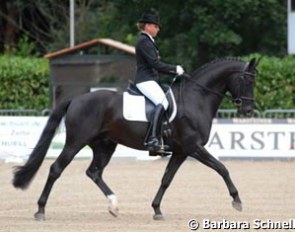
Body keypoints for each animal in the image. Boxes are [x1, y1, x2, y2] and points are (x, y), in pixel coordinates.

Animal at [13, 57, 260, 220]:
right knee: (56, 169)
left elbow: (166, 179)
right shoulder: (193, 147)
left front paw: (157, 209)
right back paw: (40, 210)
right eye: (246, 81)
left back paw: (113, 206)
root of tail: (76, 99)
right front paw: (237, 200)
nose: (247, 110)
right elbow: (222, 168)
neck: (196, 98)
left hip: (104, 146)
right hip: (76, 142)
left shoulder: (181, 151)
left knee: (94, 172)